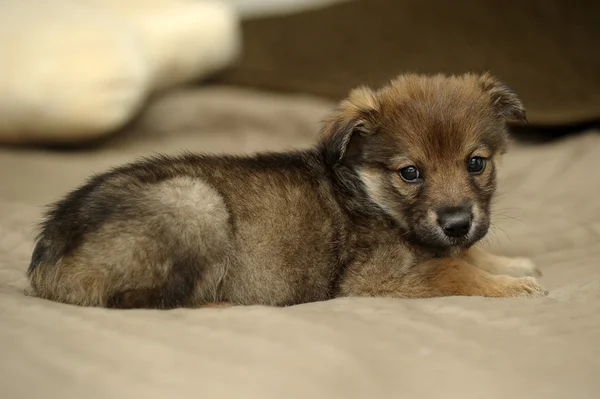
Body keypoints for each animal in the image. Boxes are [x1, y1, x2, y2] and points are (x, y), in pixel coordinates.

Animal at [25, 72, 548, 310]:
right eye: (410, 173)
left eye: (476, 163)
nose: (457, 222)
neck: (368, 193)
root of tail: (46, 260)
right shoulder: (373, 281)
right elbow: (453, 272)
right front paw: (512, 285)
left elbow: (466, 254)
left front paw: (512, 264)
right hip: (195, 203)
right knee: (150, 301)